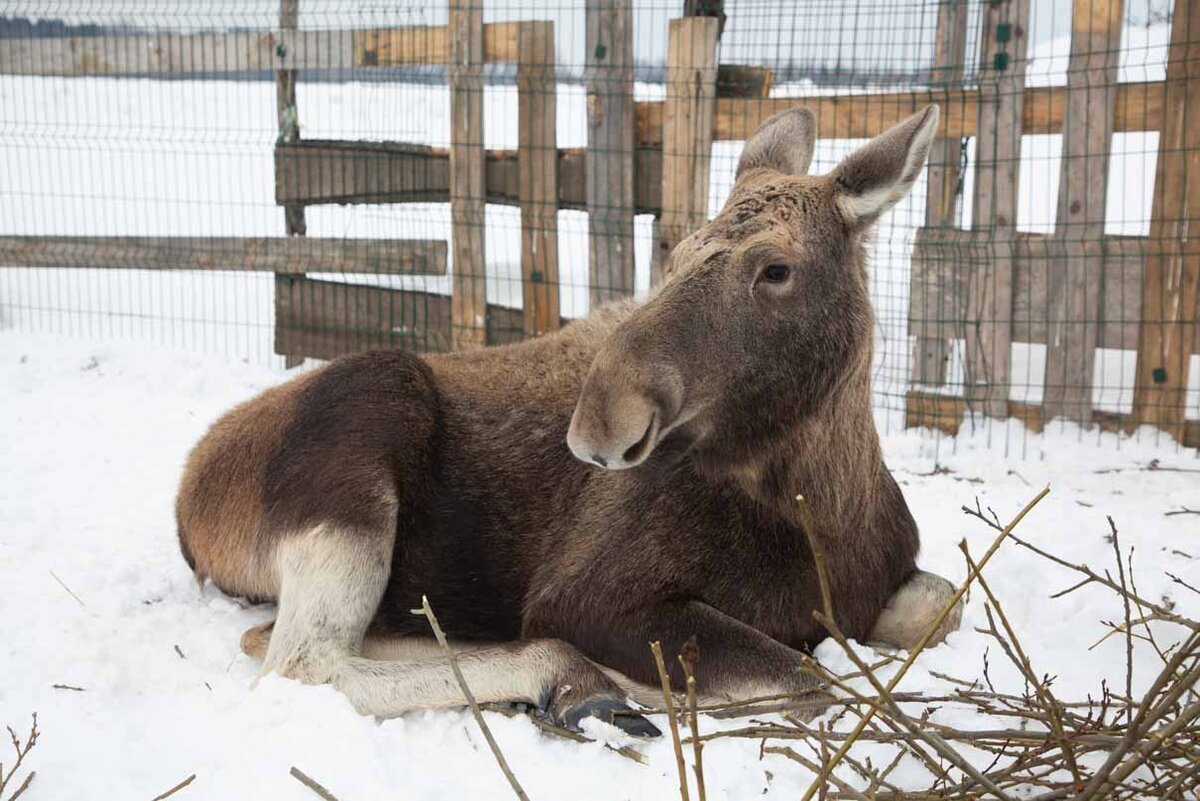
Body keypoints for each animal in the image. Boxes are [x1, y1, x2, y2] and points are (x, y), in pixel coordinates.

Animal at [177, 103, 960, 733]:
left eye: (776, 269)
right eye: (677, 253)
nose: (601, 423)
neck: (821, 513)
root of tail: (188, 504)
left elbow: (942, 601)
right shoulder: (586, 598)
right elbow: (814, 683)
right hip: (370, 418)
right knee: (297, 657)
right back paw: (567, 677)